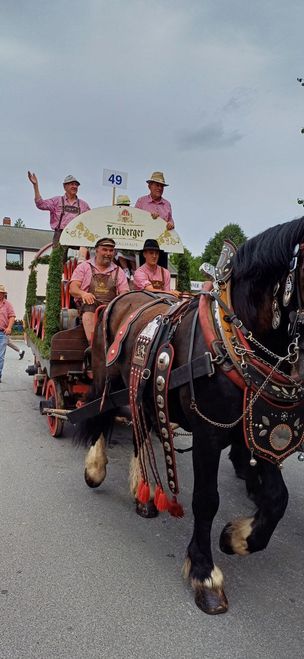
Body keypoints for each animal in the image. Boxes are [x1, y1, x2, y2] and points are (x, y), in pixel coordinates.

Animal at [77, 219, 304, 616]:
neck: (231, 344)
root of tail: (119, 298)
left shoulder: (259, 430)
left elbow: (278, 498)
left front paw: (237, 538)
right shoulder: (209, 434)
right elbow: (206, 499)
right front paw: (204, 572)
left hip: (142, 391)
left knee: (140, 429)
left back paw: (144, 493)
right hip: (108, 377)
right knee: (103, 416)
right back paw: (96, 469)